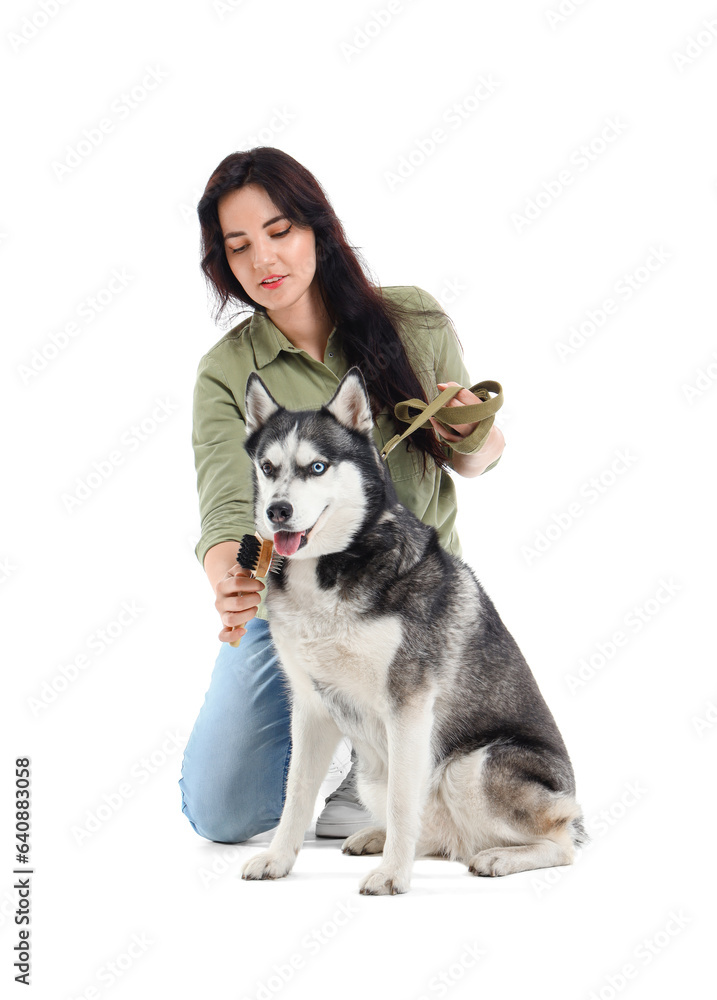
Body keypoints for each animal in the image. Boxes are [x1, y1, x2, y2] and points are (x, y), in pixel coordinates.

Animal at [241, 370, 588, 900]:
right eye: (268, 466)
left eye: (317, 467)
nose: (278, 511)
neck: (331, 571)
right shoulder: (312, 707)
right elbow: (296, 796)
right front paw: (278, 859)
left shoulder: (408, 705)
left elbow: (405, 802)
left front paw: (392, 876)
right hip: (372, 774)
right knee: (435, 835)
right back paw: (378, 837)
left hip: (470, 765)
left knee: (561, 841)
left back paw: (499, 857)